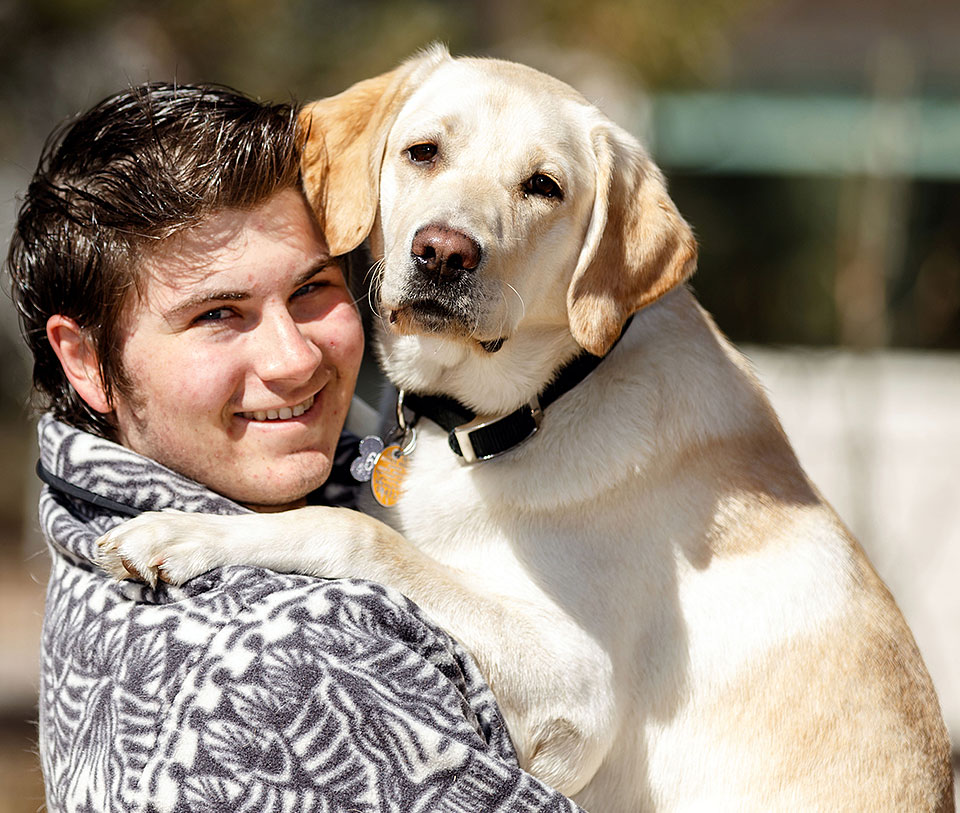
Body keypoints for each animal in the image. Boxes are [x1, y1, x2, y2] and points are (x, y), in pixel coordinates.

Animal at [99, 47, 952, 808]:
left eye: (544, 187)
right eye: (423, 151)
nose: (443, 252)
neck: (520, 409)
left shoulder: (581, 683)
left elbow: (351, 531)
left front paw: (180, 533)